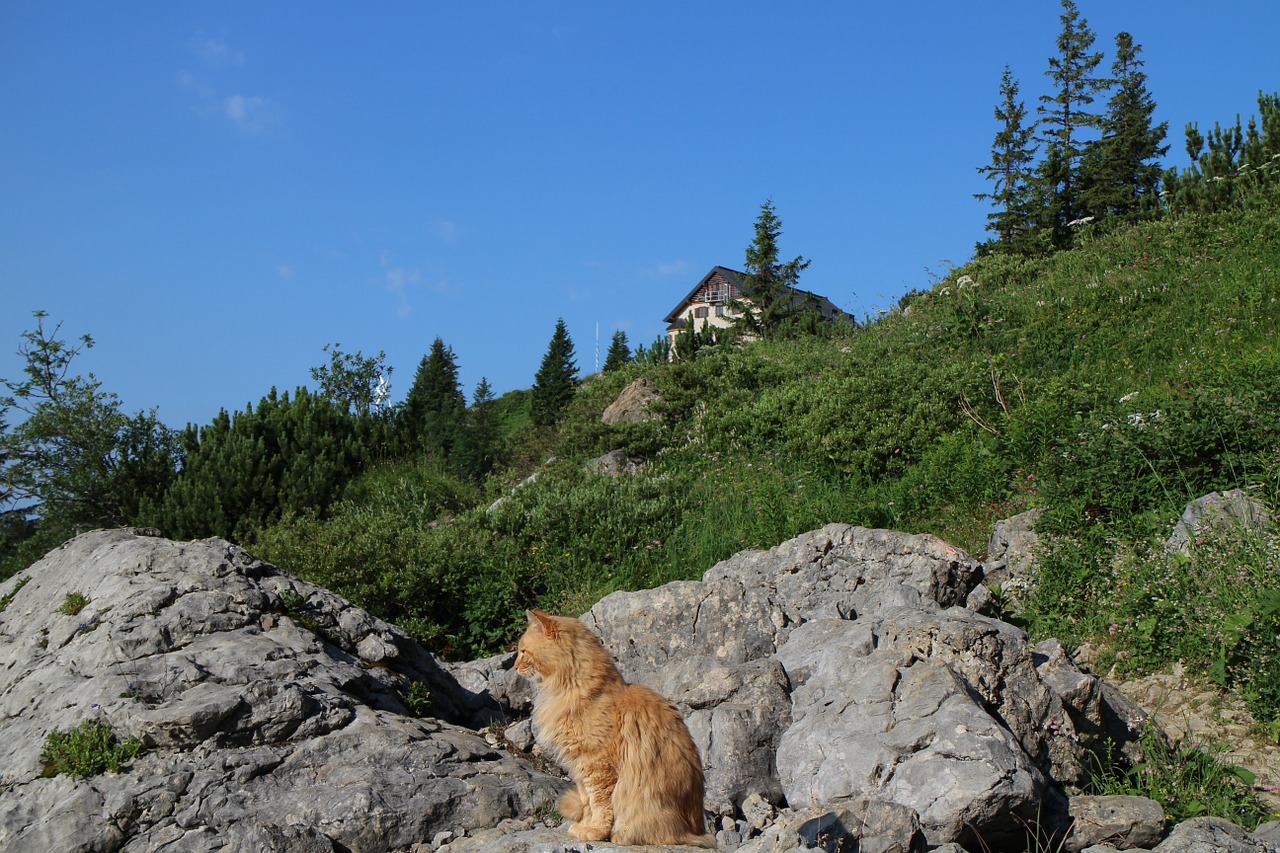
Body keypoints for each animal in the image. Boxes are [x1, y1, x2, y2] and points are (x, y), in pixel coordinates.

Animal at [512, 607, 711, 840]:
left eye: (523, 652)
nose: (514, 667)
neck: (570, 688)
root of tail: (697, 830)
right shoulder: (579, 767)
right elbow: (587, 802)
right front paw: (585, 825)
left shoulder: (596, 764)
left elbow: (600, 804)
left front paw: (595, 830)